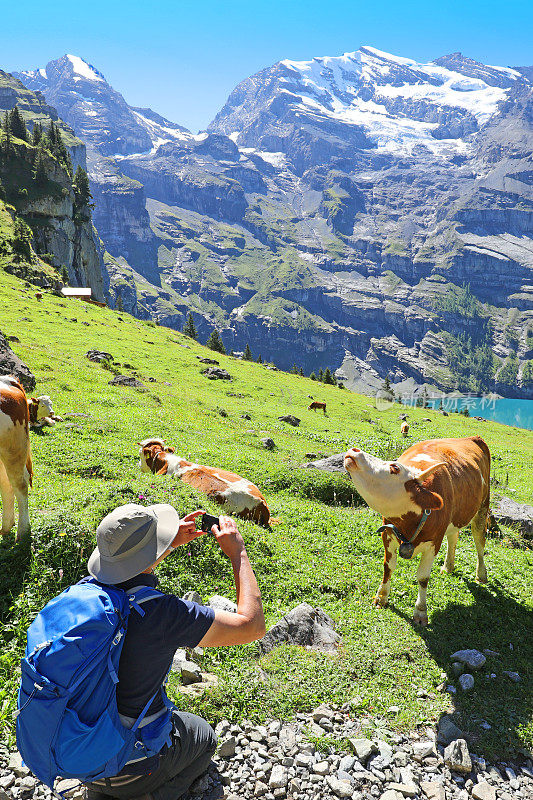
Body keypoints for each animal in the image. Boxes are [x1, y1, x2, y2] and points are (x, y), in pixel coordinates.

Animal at [344, 438, 490, 624]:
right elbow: (388, 567)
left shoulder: (434, 543)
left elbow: (422, 578)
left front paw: (420, 611)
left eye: (395, 467)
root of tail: (471, 438)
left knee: (479, 542)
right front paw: (381, 597)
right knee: (453, 537)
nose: (355, 450)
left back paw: (481, 575)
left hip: (482, 508)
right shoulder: (387, 534)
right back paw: (448, 566)